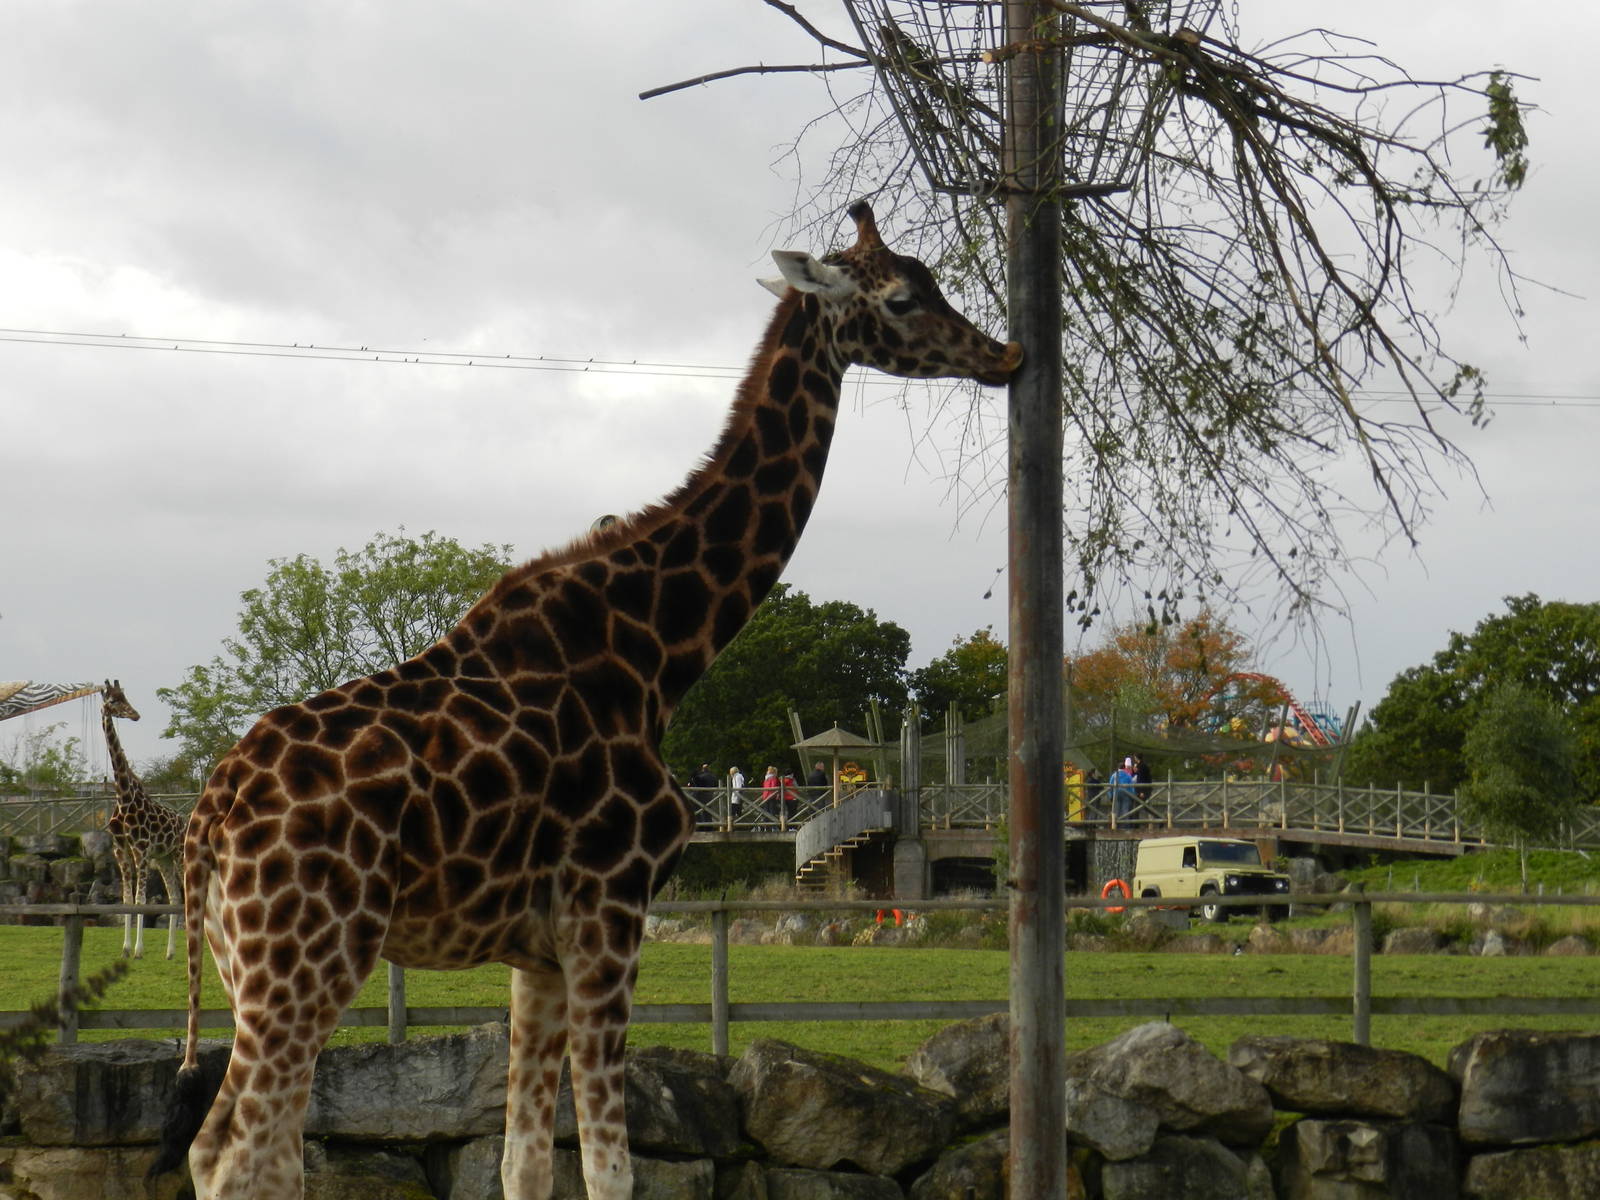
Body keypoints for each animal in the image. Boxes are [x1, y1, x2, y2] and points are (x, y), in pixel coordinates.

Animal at [100, 679, 186, 960]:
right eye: (113, 700)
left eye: (125, 696)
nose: (135, 714)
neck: (124, 796)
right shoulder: (121, 848)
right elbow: (127, 899)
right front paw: (126, 948)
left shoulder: (142, 849)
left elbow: (141, 900)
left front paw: (138, 949)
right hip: (164, 858)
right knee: (175, 898)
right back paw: (170, 952)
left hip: (178, 854)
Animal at [150, 201, 1022, 1199]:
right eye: (906, 297)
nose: (1005, 354)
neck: (656, 653)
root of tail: (209, 818)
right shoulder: (612, 904)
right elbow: (611, 1166)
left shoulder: (540, 949)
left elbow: (524, 1160)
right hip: (309, 954)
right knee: (235, 1151)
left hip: (250, 965)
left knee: (252, 1145)